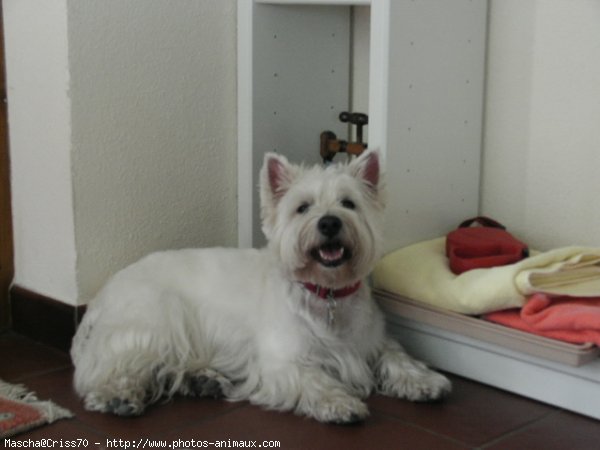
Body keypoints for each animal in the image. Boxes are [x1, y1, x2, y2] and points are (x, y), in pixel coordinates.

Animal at [71, 149, 450, 424]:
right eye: (302, 207)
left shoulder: (370, 342)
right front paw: (339, 403)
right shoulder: (282, 361)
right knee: (110, 368)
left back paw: (204, 380)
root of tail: (99, 299)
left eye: (348, 203)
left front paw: (425, 381)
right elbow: (312, 378)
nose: (329, 223)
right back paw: (118, 396)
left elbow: (396, 356)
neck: (326, 294)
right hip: (156, 319)